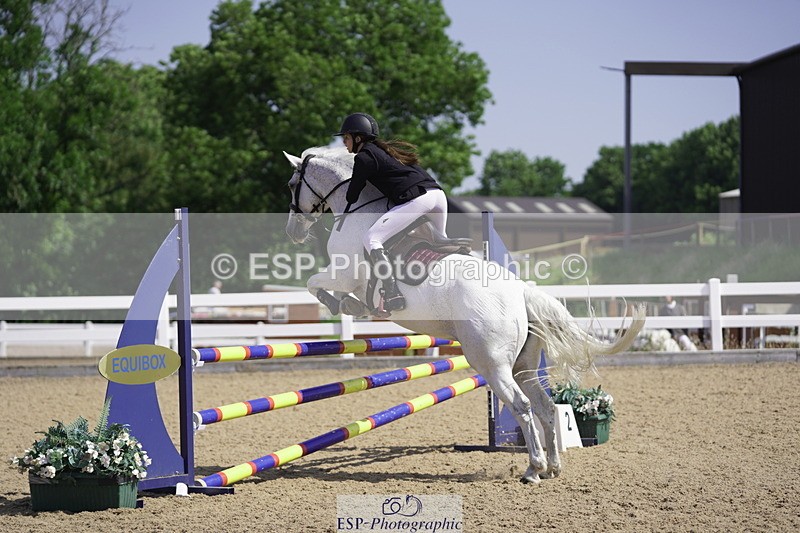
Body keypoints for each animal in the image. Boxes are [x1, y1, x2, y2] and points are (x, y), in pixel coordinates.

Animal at [283, 145, 645, 483]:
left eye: (291, 184)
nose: (294, 233)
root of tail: (521, 292)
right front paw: (347, 306)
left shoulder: (345, 275)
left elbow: (314, 283)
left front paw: (344, 306)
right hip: (523, 365)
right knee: (545, 406)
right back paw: (554, 466)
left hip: (491, 364)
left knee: (522, 406)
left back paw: (533, 468)